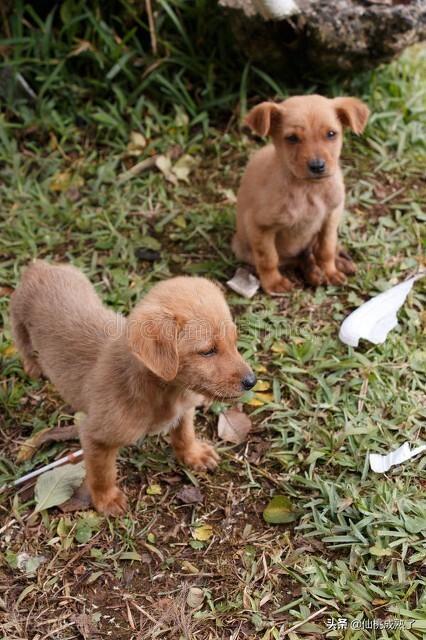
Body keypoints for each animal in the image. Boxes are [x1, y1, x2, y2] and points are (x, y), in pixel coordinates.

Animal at [10, 260, 256, 516]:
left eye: (234, 342)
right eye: (207, 351)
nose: (252, 381)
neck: (165, 391)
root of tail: (40, 265)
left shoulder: (185, 409)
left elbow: (184, 433)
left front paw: (194, 454)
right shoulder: (95, 436)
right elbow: (102, 474)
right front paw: (106, 499)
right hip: (17, 318)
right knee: (23, 344)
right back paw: (33, 367)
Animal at [233, 94, 370, 294]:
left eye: (331, 134)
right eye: (292, 138)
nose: (317, 166)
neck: (308, 190)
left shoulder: (331, 215)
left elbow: (326, 249)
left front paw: (330, 271)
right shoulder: (259, 226)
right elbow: (268, 259)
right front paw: (273, 283)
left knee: (311, 251)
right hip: (244, 250)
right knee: (298, 258)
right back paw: (314, 273)